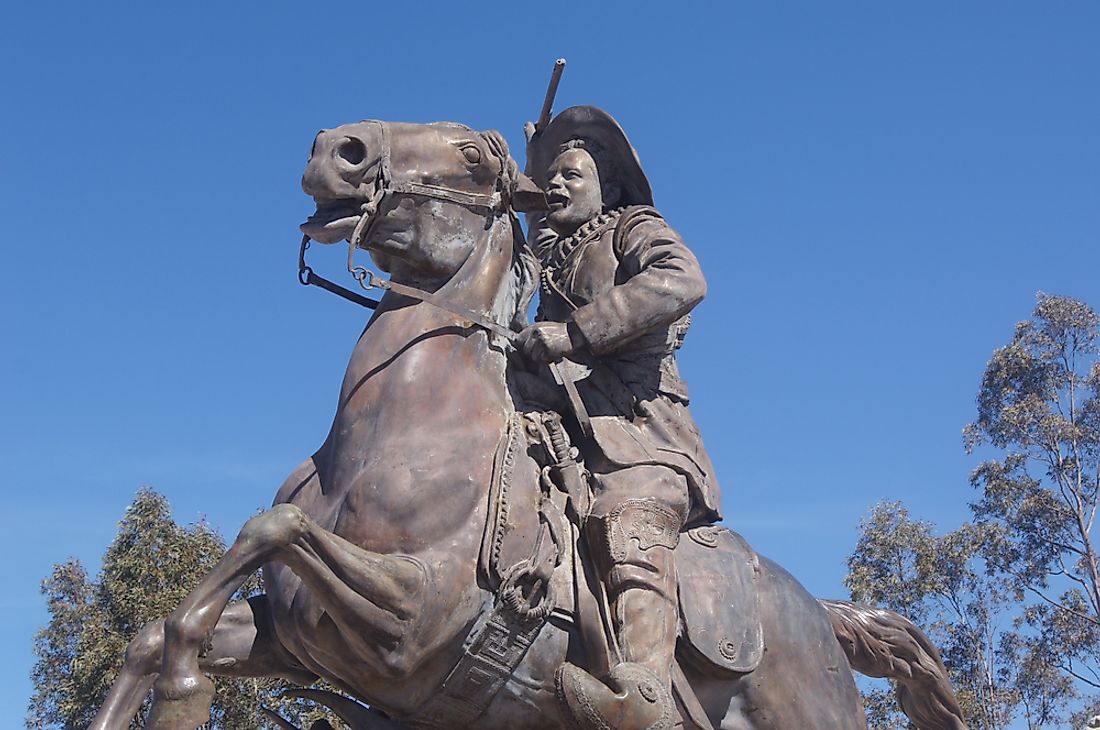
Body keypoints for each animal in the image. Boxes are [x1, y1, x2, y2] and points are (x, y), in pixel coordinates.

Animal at [90, 119, 968, 729]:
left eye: (476, 155)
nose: (338, 146)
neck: (394, 441)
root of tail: (821, 612)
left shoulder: (406, 622)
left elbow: (271, 530)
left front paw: (180, 690)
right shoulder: (294, 631)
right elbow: (167, 626)